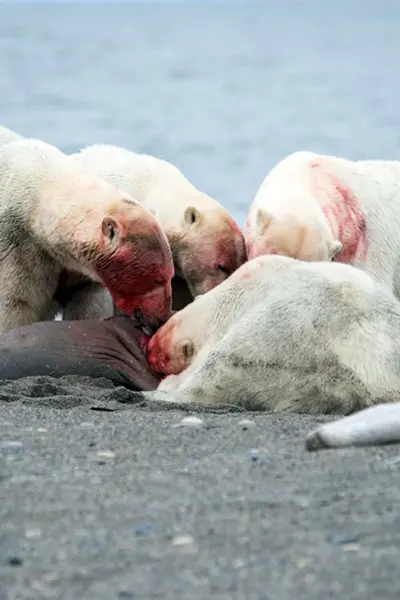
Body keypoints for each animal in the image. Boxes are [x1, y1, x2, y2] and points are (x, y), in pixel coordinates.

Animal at [0, 138, 173, 332]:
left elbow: (87, 303)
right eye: (158, 280)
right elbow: (16, 307)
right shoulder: (17, 248)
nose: (160, 320)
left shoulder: (80, 272)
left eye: (171, 275)